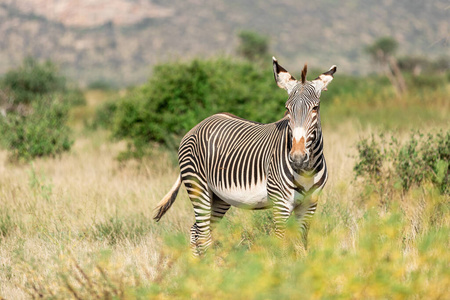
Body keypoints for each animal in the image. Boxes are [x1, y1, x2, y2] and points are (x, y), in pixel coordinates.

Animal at [153, 56, 336, 255]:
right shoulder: (281, 204)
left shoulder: (310, 204)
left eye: (315, 108)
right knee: (202, 233)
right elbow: (281, 243)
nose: (297, 157)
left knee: (197, 230)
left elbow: (301, 244)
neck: (306, 170)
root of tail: (198, 125)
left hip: (219, 197)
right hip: (198, 187)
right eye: (287, 109)